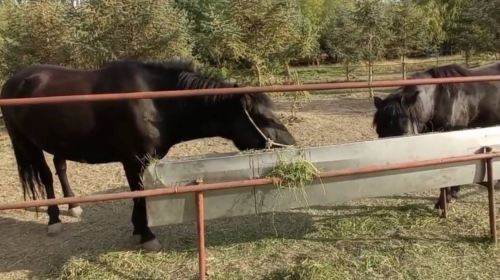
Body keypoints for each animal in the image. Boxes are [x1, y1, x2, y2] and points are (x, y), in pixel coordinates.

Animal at [0, 58, 296, 249]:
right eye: (263, 117)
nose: (292, 145)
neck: (154, 102)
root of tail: (14, 81)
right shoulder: (134, 161)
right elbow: (139, 194)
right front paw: (146, 234)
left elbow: (140, 195)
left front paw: (138, 228)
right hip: (26, 143)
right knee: (46, 176)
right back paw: (54, 219)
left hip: (57, 142)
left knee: (60, 167)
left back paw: (73, 206)